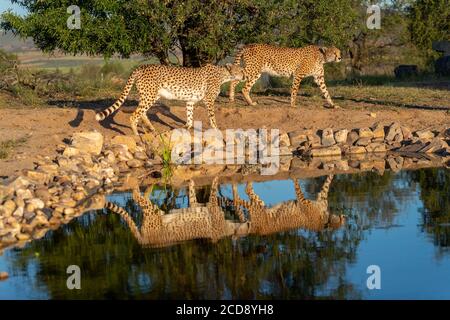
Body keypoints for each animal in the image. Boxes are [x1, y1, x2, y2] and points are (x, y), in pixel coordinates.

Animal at [94, 63, 243, 135]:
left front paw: (186, 127)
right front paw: (216, 129)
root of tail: (141, 67)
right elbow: (212, 117)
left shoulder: (190, 101)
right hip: (149, 95)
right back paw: (137, 134)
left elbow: (190, 116)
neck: (224, 75)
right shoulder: (209, 100)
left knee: (142, 113)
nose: (244, 76)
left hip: (151, 95)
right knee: (135, 115)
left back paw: (152, 129)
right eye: (239, 71)